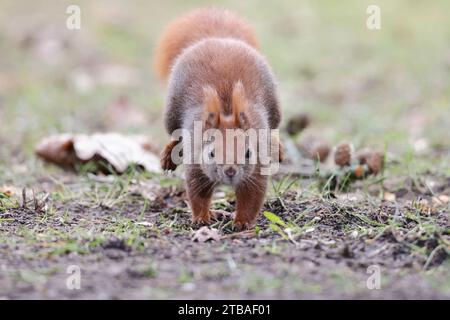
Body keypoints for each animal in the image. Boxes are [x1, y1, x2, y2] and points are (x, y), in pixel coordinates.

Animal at [154, 6, 282, 228]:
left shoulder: (257, 168)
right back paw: (168, 156)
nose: (230, 171)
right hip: (171, 111)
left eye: (248, 153)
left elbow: (251, 197)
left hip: (275, 109)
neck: (227, 111)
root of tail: (219, 39)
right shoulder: (196, 161)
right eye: (212, 153)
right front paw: (202, 218)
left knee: (275, 129)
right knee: (175, 135)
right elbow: (198, 193)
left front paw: (242, 222)